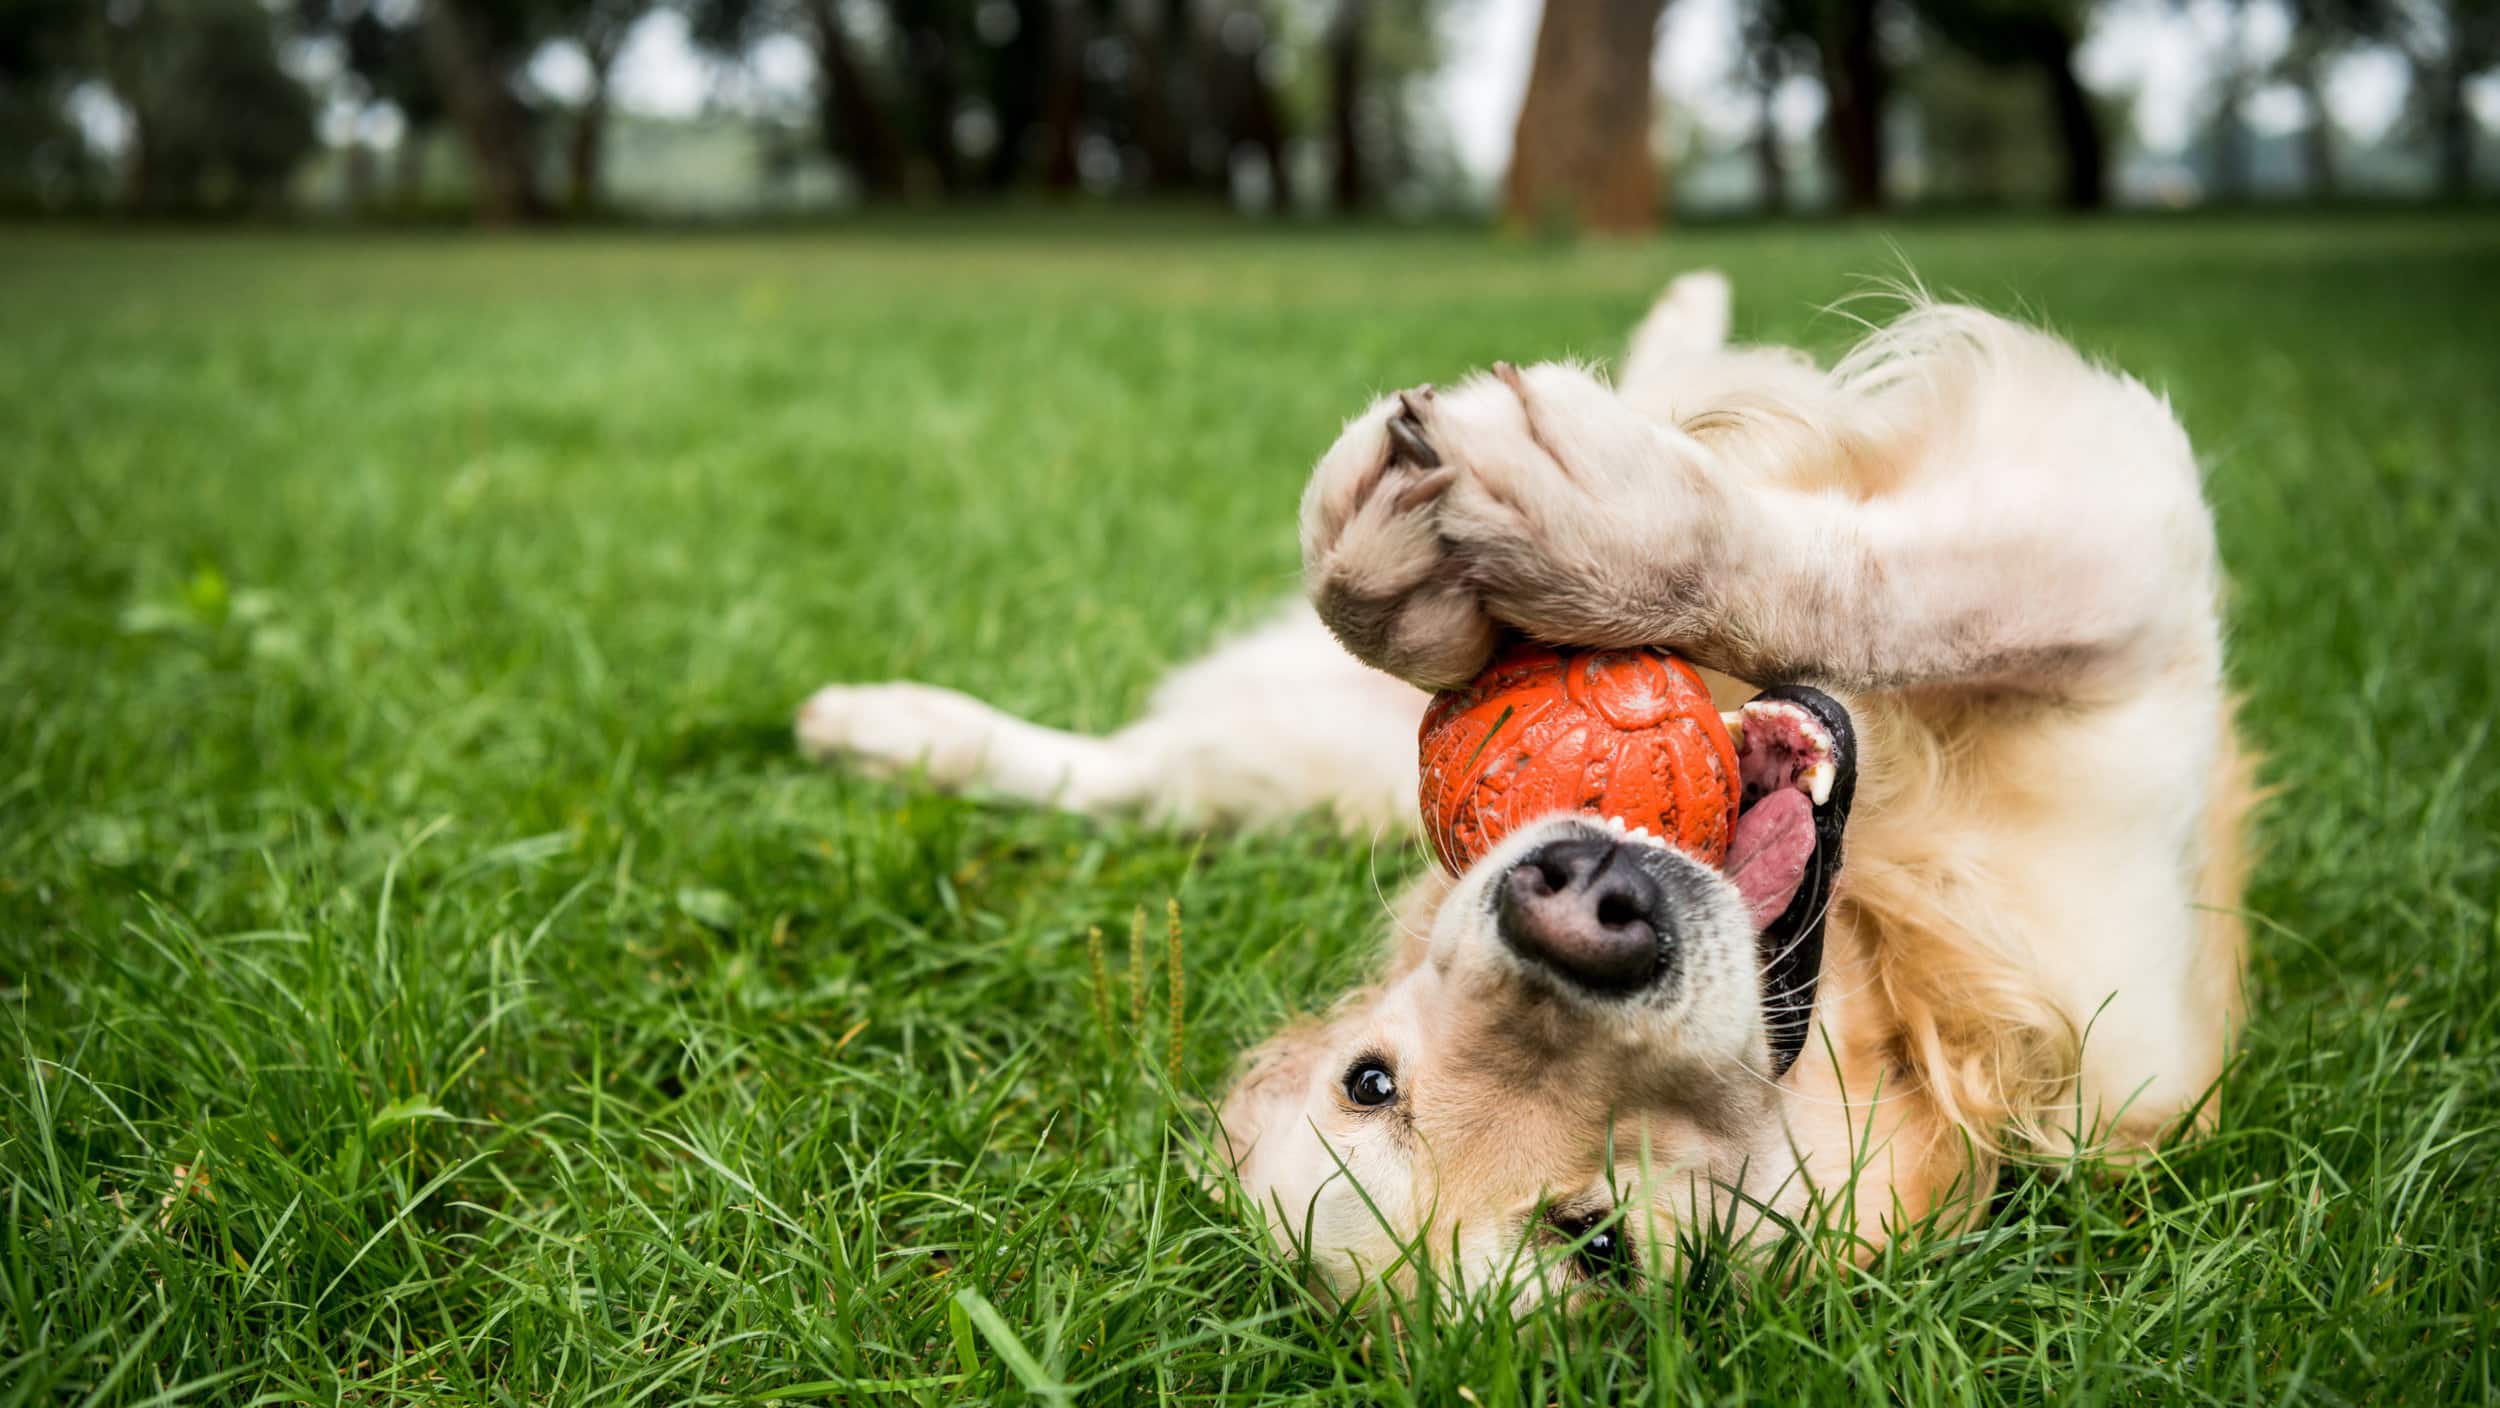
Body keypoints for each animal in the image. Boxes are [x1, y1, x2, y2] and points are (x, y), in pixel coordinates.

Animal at [800, 272, 2270, 1310]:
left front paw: (1559, 531)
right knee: (1133, 773)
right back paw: (885, 731)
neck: (1892, 974)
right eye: (1377, 1081)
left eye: (1597, 1237)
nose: (1583, 906)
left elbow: (1869, 579)